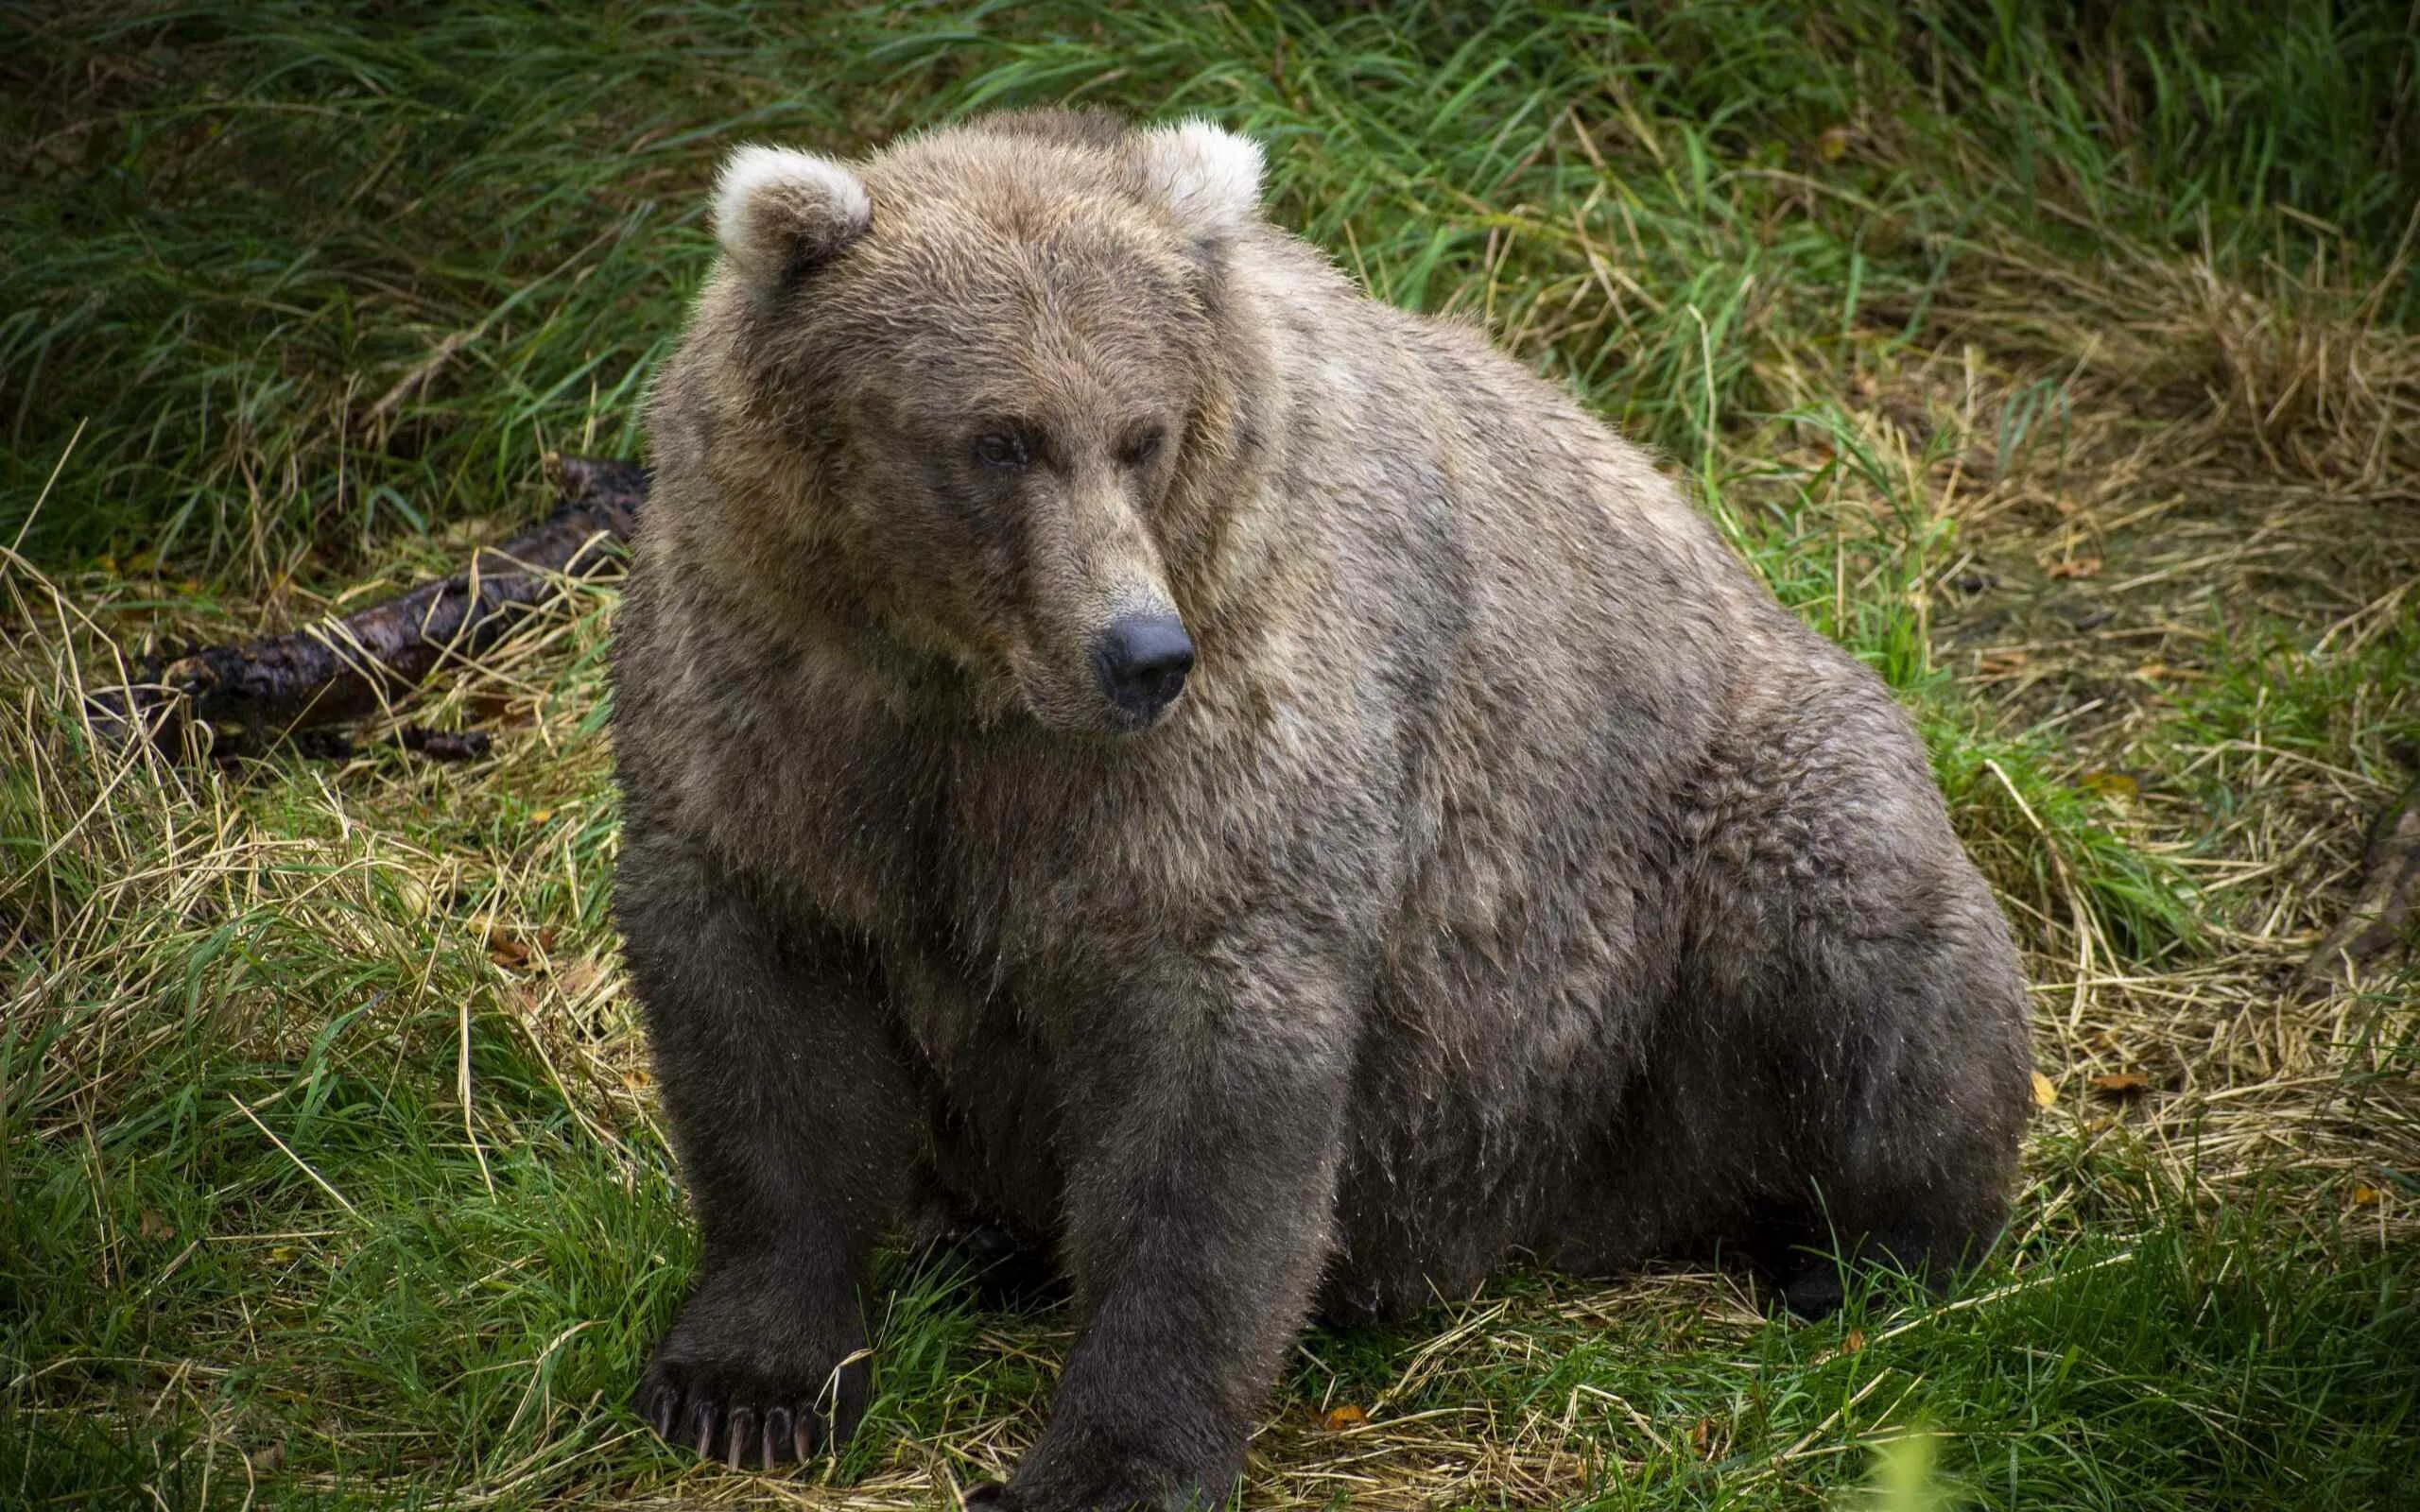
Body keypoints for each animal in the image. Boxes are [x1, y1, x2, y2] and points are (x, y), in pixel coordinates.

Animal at [614, 109, 2032, 1509]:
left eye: (1142, 431)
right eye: (997, 437)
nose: (1137, 652)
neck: (966, 691)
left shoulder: (1225, 738)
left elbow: (1210, 1102)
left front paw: (1106, 1464)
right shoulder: (779, 713)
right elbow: (768, 1034)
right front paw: (745, 1384)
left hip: (1711, 845)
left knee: (1858, 954)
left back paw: (1865, 1252)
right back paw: (980, 1245)